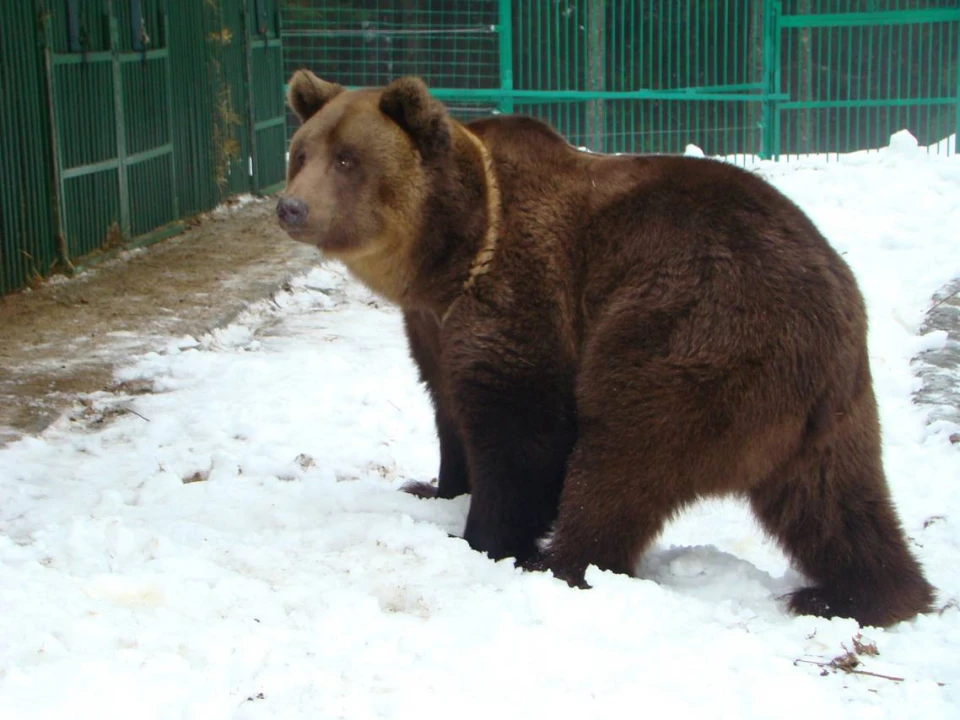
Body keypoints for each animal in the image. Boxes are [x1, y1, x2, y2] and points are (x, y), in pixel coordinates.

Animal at [280, 69, 936, 632]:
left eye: (348, 159)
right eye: (301, 153)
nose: (292, 206)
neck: (450, 256)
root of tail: (833, 307)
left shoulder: (523, 289)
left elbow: (523, 427)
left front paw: (484, 535)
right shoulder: (432, 326)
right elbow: (448, 405)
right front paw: (435, 487)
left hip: (693, 332)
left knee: (623, 454)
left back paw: (562, 563)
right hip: (831, 411)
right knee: (835, 501)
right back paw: (858, 594)